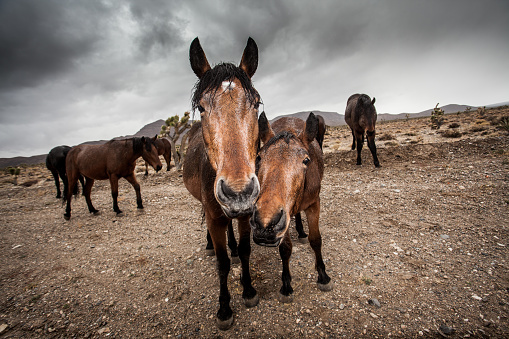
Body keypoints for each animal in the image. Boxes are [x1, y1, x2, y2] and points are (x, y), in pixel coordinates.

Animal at [183, 37, 260, 332]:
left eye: (256, 104)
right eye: (202, 108)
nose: (238, 192)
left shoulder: (246, 214)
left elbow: (247, 251)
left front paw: (249, 291)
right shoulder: (215, 218)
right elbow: (222, 264)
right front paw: (225, 309)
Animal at [251, 113, 332, 304]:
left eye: (306, 160)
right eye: (259, 158)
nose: (264, 225)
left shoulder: (314, 204)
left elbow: (316, 240)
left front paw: (323, 276)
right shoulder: (283, 218)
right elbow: (285, 248)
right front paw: (286, 285)